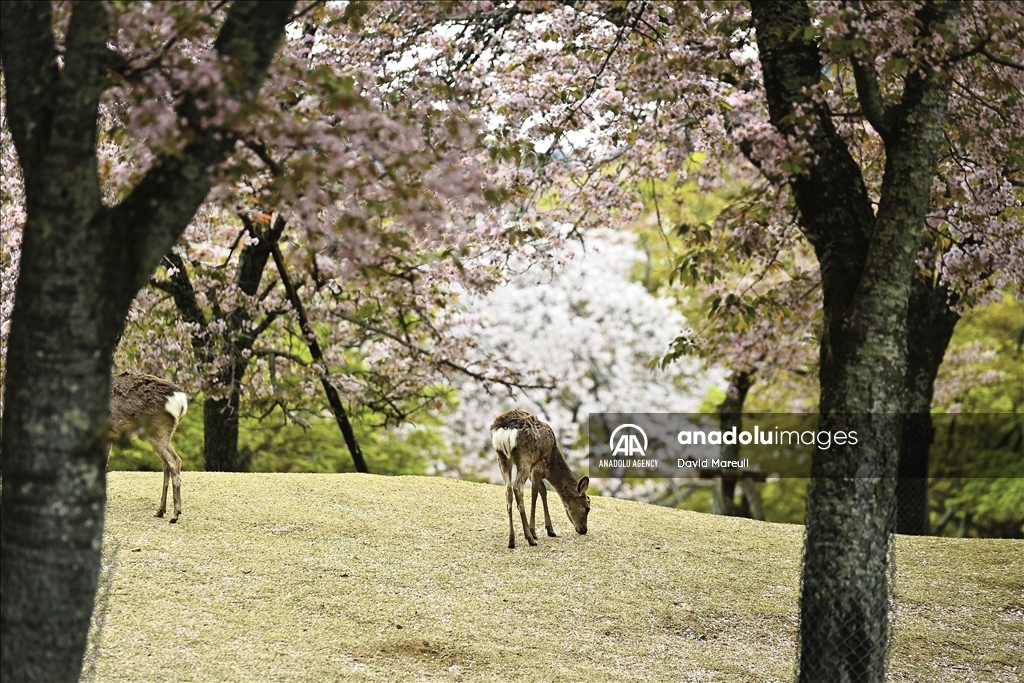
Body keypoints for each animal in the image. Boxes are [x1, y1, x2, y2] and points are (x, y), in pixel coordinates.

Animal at [111, 374, 191, 524]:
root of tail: (181, 400)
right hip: (164, 433)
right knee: (167, 463)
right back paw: (160, 511)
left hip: (157, 428)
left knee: (173, 461)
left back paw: (175, 514)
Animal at [489, 411, 593, 548]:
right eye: (587, 507)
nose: (583, 530)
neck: (552, 464)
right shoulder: (538, 467)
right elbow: (537, 493)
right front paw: (536, 531)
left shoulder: (532, 472)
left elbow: (542, 490)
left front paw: (547, 530)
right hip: (525, 456)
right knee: (517, 488)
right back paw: (530, 539)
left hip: (501, 458)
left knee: (508, 490)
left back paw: (511, 540)